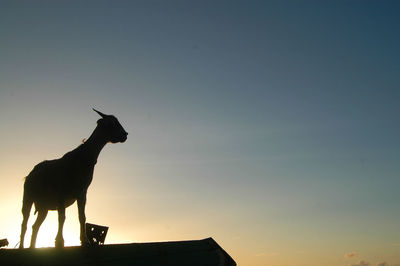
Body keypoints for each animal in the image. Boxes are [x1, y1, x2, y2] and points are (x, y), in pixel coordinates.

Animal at [18, 108, 127, 249]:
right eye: (113, 123)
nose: (125, 134)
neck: (83, 158)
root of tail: (30, 174)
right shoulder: (61, 192)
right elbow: (62, 217)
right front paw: (59, 242)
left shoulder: (82, 192)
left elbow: (82, 217)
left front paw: (84, 241)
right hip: (28, 197)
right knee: (24, 222)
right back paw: (21, 246)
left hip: (43, 207)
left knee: (35, 226)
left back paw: (32, 246)